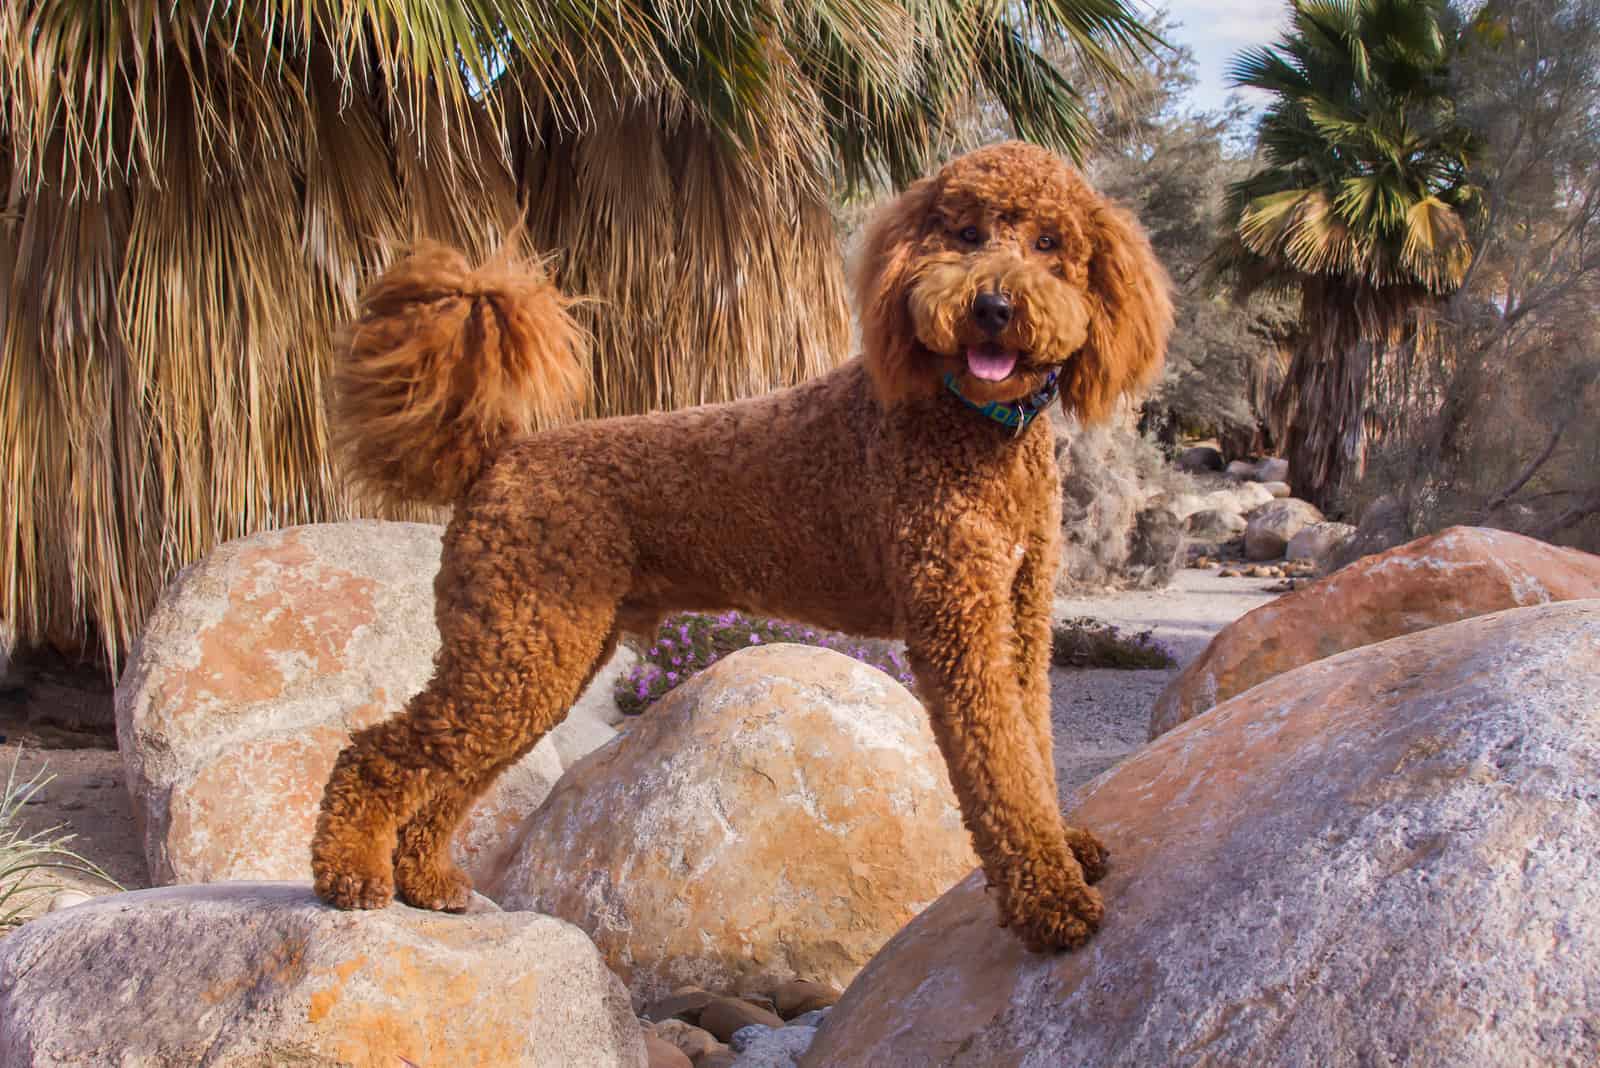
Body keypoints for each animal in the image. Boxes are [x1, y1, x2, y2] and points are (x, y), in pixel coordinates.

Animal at [305, 141, 1171, 952]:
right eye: (965, 233)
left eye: (1051, 242)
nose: (992, 305)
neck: (972, 425)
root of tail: (497, 456)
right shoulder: (959, 625)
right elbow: (1001, 771)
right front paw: (1051, 901)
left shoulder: (1017, 619)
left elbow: (1035, 747)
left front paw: (1069, 846)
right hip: (516, 649)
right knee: (375, 753)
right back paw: (348, 874)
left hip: (534, 655)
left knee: (453, 773)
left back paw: (425, 878)